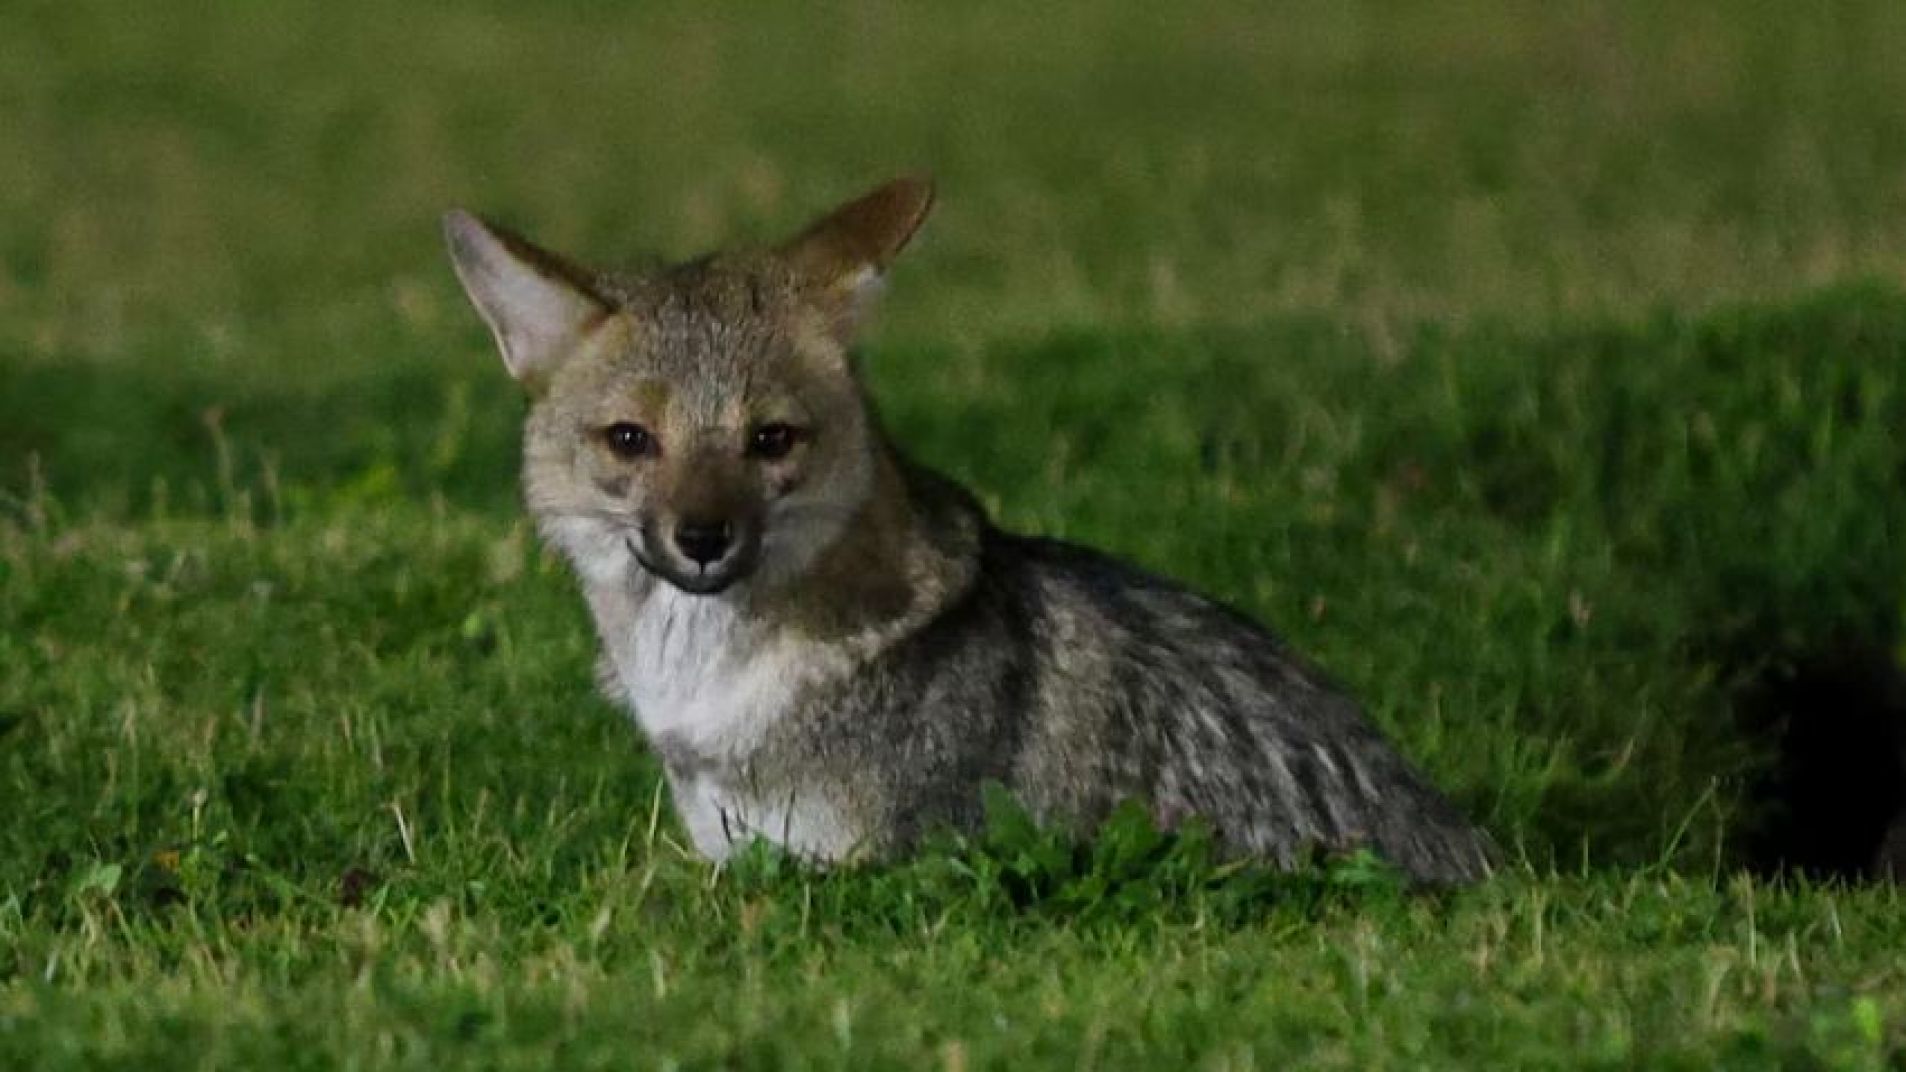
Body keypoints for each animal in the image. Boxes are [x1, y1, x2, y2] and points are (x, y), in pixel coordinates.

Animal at [442, 176, 1495, 884]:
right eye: (632, 440)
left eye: (770, 440)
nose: (703, 537)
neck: (710, 697)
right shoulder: (732, 851)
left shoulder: (873, 866)